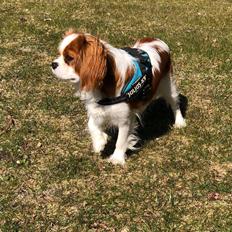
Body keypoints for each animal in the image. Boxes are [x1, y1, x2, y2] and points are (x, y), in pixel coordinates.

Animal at [51, 29, 186, 165]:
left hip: (167, 85)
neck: (105, 81)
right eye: (59, 54)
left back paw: (179, 122)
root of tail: (157, 40)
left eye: (69, 58)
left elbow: (121, 140)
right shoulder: (97, 107)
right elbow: (91, 124)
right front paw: (99, 142)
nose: (53, 64)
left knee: (175, 103)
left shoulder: (124, 119)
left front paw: (117, 158)